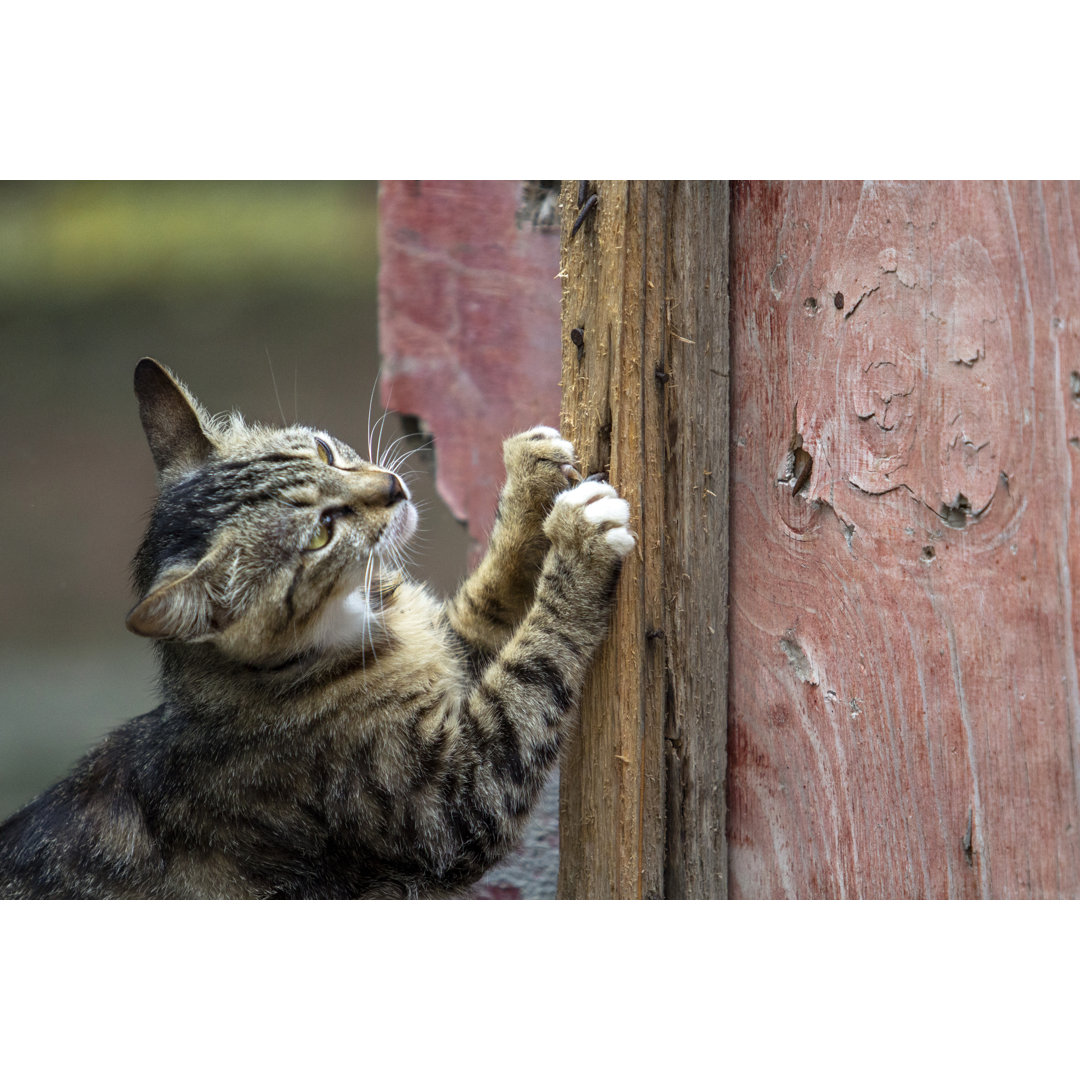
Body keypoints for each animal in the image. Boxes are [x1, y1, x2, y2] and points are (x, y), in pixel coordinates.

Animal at [0, 358, 635, 898]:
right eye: (321, 533)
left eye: (327, 453)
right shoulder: (454, 801)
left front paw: (531, 482)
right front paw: (579, 544)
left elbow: (491, 602)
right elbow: (534, 664)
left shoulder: (454, 654)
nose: (393, 488)